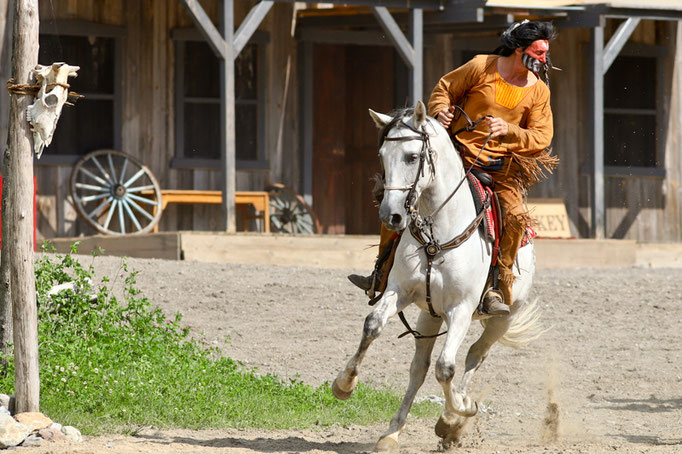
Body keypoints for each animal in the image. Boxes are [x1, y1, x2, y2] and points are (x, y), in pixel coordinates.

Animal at [330, 102, 540, 450]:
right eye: (382, 155)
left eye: (412, 156)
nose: (391, 215)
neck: (436, 236)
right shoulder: (399, 291)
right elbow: (372, 325)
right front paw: (344, 385)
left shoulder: (461, 310)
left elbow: (447, 367)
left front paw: (457, 414)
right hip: (430, 315)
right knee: (419, 368)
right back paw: (391, 433)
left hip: (502, 318)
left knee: (474, 356)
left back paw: (453, 419)